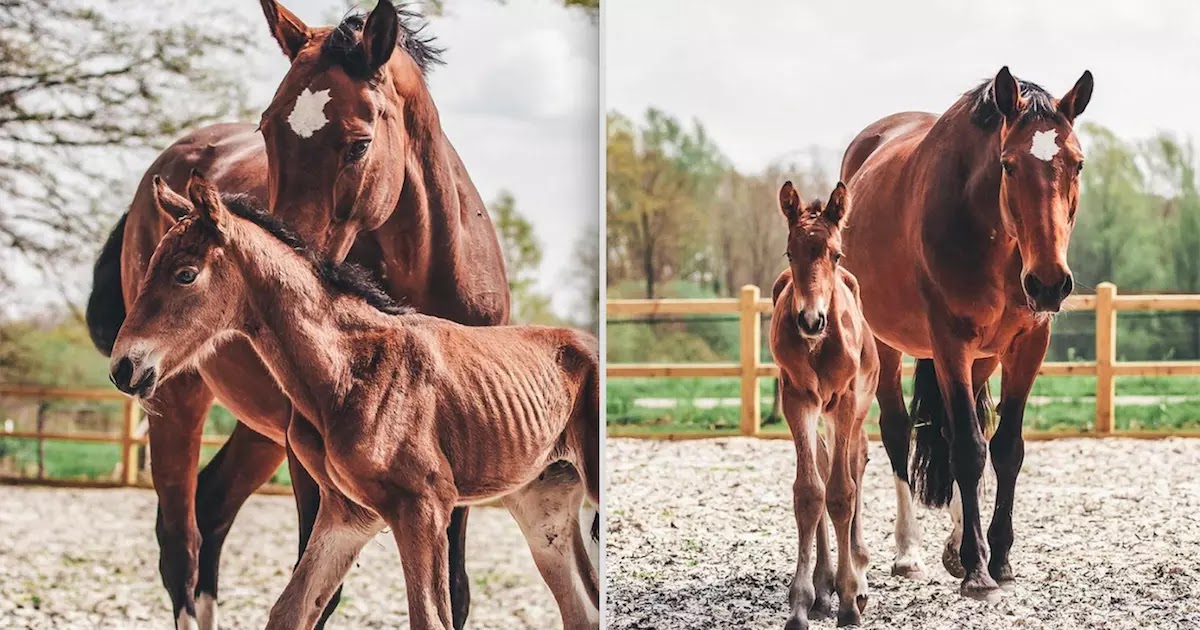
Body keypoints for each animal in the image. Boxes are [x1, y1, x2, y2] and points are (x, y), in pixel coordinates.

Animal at [109, 172, 600, 628]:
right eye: (148, 267)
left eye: (185, 275)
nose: (123, 368)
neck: (353, 368)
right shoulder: (347, 515)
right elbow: (290, 612)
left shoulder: (424, 507)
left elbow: (429, 618)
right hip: (544, 512)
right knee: (583, 609)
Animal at [768, 181, 883, 628]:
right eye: (789, 252)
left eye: (835, 254)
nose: (810, 320)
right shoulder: (797, 399)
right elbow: (810, 493)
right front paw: (802, 600)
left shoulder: (846, 400)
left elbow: (841, 492)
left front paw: (850, 598)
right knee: (822, 463)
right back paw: (822, 586)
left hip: (853, 408)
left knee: (855, 463)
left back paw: (857, 575)